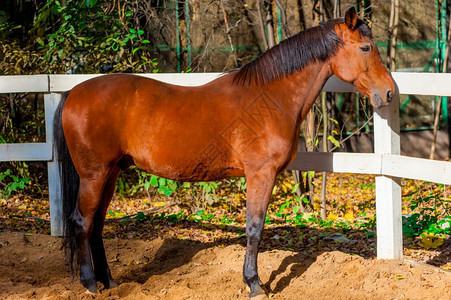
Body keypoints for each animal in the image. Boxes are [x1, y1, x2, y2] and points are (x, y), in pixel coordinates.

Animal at [53, 6, 396, 298]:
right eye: (366, 48)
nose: (390, 93)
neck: (270, 97)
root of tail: (73, 92)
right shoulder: (260, 174)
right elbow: (255, 227)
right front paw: (254, 284)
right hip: (94, 176)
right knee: (82, 221)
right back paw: (89, 284)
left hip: (110, 174)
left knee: (97, 224)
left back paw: (110, 282)